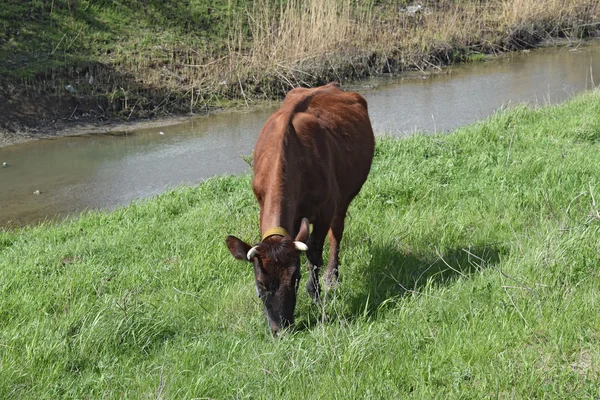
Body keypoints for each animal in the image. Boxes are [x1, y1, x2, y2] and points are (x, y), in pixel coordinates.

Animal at [226, 82, 376, 334]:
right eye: (260, 282)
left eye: (295, 278)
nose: (281, 328)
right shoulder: (263, 203)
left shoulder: (325, 209)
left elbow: (314, 250)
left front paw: (315, 294)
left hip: (343, 198)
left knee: (336, 233)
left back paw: (331, 277)